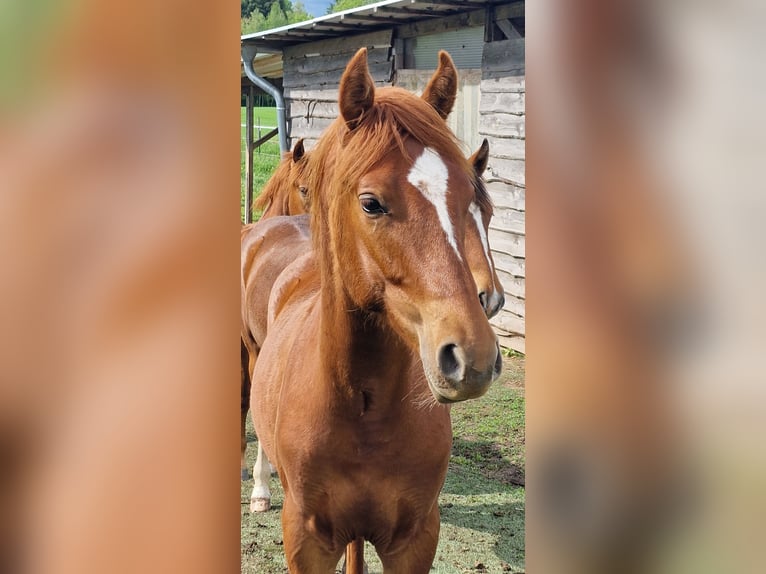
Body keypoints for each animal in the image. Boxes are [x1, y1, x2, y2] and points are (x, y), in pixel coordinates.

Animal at [247, 47, 501, 573]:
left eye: (472, 201)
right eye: (371, 203)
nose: (473, 357)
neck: (364, 409)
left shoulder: (415, 539)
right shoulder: (306, 540)